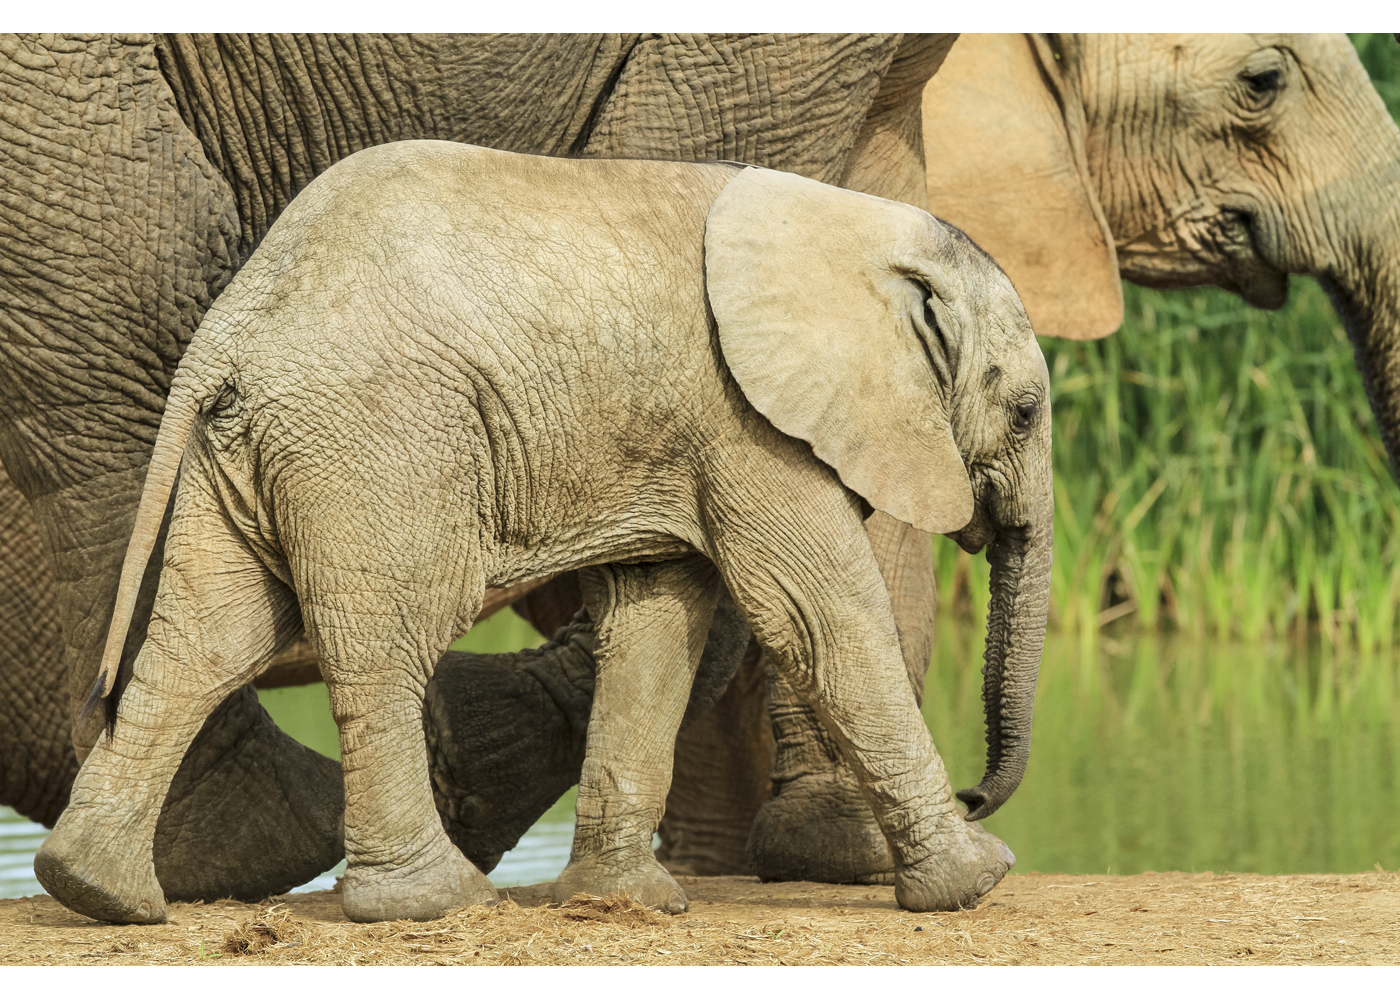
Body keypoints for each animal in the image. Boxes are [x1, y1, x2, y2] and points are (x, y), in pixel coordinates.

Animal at [0, 33, 952, 896]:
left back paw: (110, 881)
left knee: (217, 622)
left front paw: (841, 854)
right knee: (142, 270)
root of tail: (229, 337)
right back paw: (338, 868)